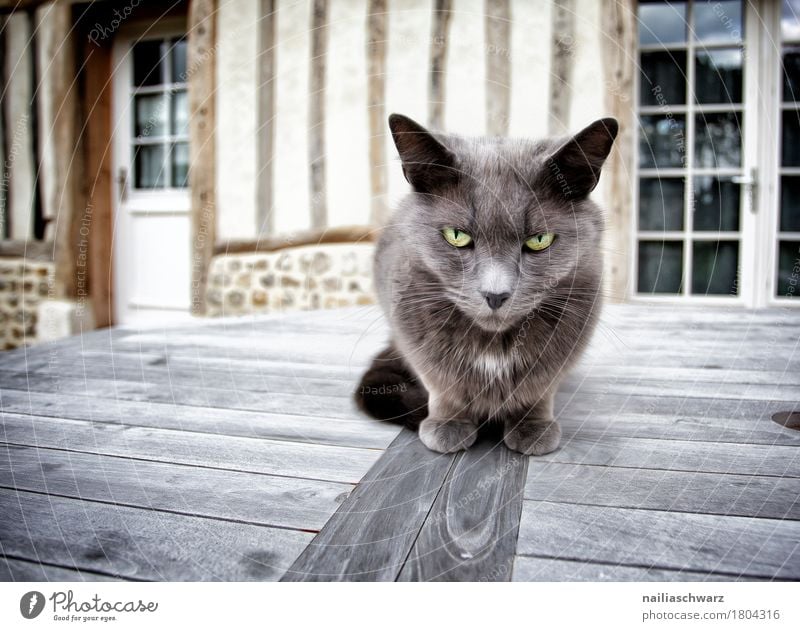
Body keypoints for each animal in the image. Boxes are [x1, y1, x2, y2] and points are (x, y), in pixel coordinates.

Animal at [356, 113, 620, 456]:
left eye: (539, 240)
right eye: (457, 236)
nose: (496, 294)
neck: (493, 345)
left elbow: (539, 389)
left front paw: (533, 427)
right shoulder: (414, 330)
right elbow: (442, 385)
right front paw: (448, 425)